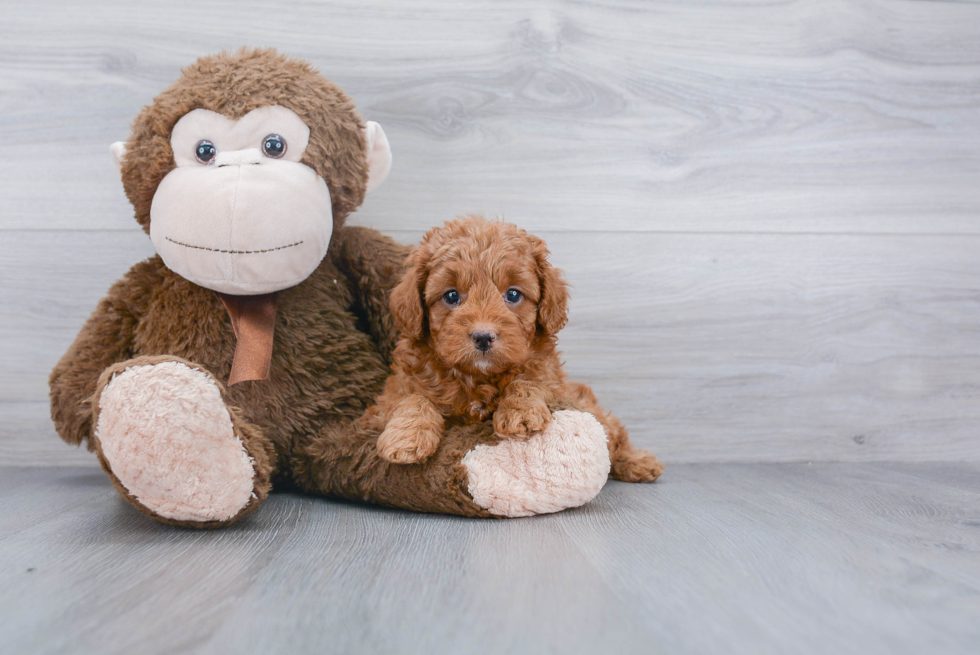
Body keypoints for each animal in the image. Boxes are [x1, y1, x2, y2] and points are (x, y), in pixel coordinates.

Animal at [362, 215, 668, 482]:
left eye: (512, 294)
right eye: (451, 296)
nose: (483, 337)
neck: (478, 378)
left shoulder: (553, 383)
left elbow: (527, 381)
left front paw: (520, 412)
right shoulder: (384, 402)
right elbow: (413, 398)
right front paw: (407, 437)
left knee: (614, 435)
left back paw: (638, 462)